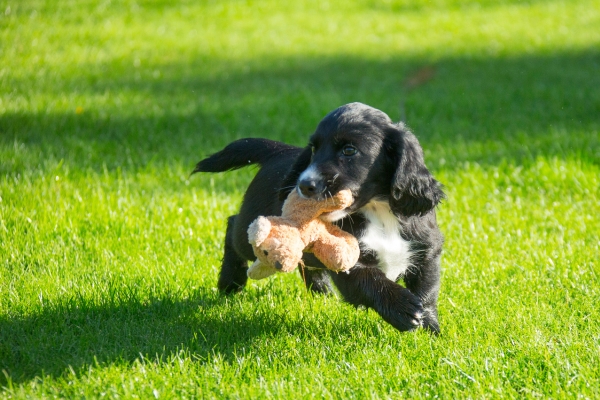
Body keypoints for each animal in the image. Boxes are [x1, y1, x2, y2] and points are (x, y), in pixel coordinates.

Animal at [195, 101, 442, 332]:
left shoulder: (428, 249)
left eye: (349, 150)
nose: (304, 185)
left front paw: (430, 332)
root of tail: (279, 151)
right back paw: (230, 283)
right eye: (313, 150)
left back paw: (321, 292)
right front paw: (403, 309)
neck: (378, 210)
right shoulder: (349, 260)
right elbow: (371, 280)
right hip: (253, 226)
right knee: (234, 227)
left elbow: (427, 290)